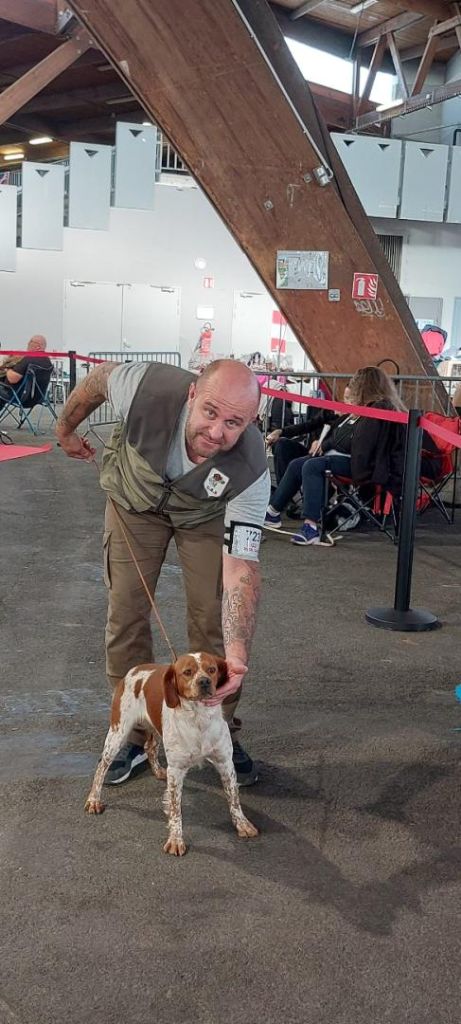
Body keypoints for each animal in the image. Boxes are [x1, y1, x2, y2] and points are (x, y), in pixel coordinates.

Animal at [85, 655, 259, 856]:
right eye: (187, 672)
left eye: (212, 669)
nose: (204, 682)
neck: (198, 718)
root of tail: (135, 669)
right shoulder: (176, 770)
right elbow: (176, 810)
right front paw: (176, 840)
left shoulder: (225, 763)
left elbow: (234, 799)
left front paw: (242, 824)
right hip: (118, 733)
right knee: (101, 767)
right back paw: (93, 800)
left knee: (149, 746)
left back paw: (159, 771)